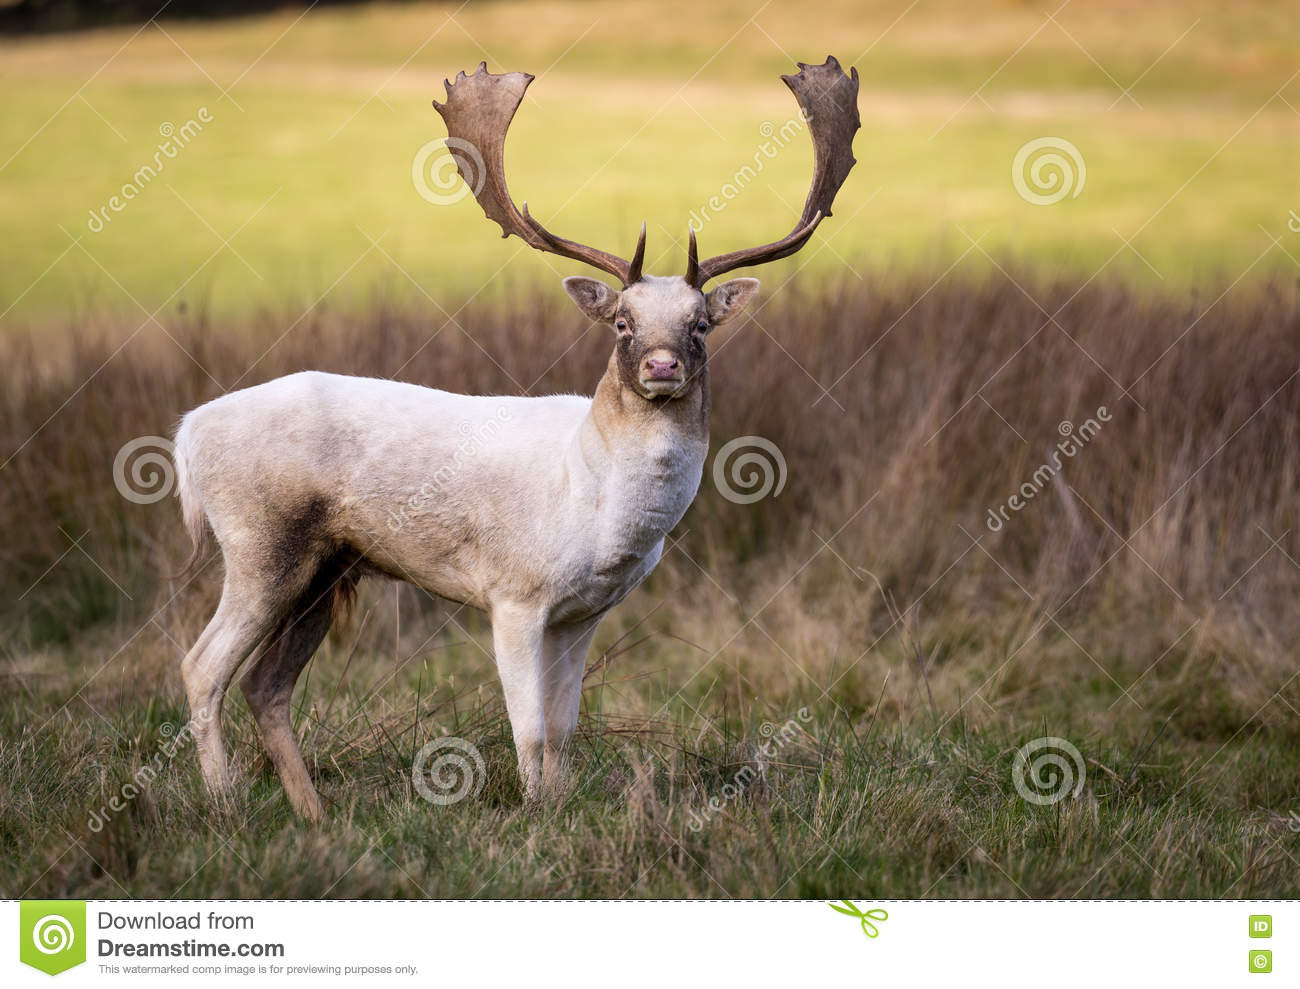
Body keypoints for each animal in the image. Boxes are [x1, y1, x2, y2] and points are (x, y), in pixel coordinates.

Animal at [172, 57, 863, 821]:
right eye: (622, 321)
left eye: (701, 324)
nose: (661, 365)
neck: (595, 506)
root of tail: (186, 434)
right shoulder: (513, 593)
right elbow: (528, 729)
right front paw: (533, 816)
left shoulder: (582, 612)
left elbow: (563, 729)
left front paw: (558, 809)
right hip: (260, 541)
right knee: (202, 666)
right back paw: (226, 804)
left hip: (326, 566)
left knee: (265, 683)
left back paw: (315, 814)